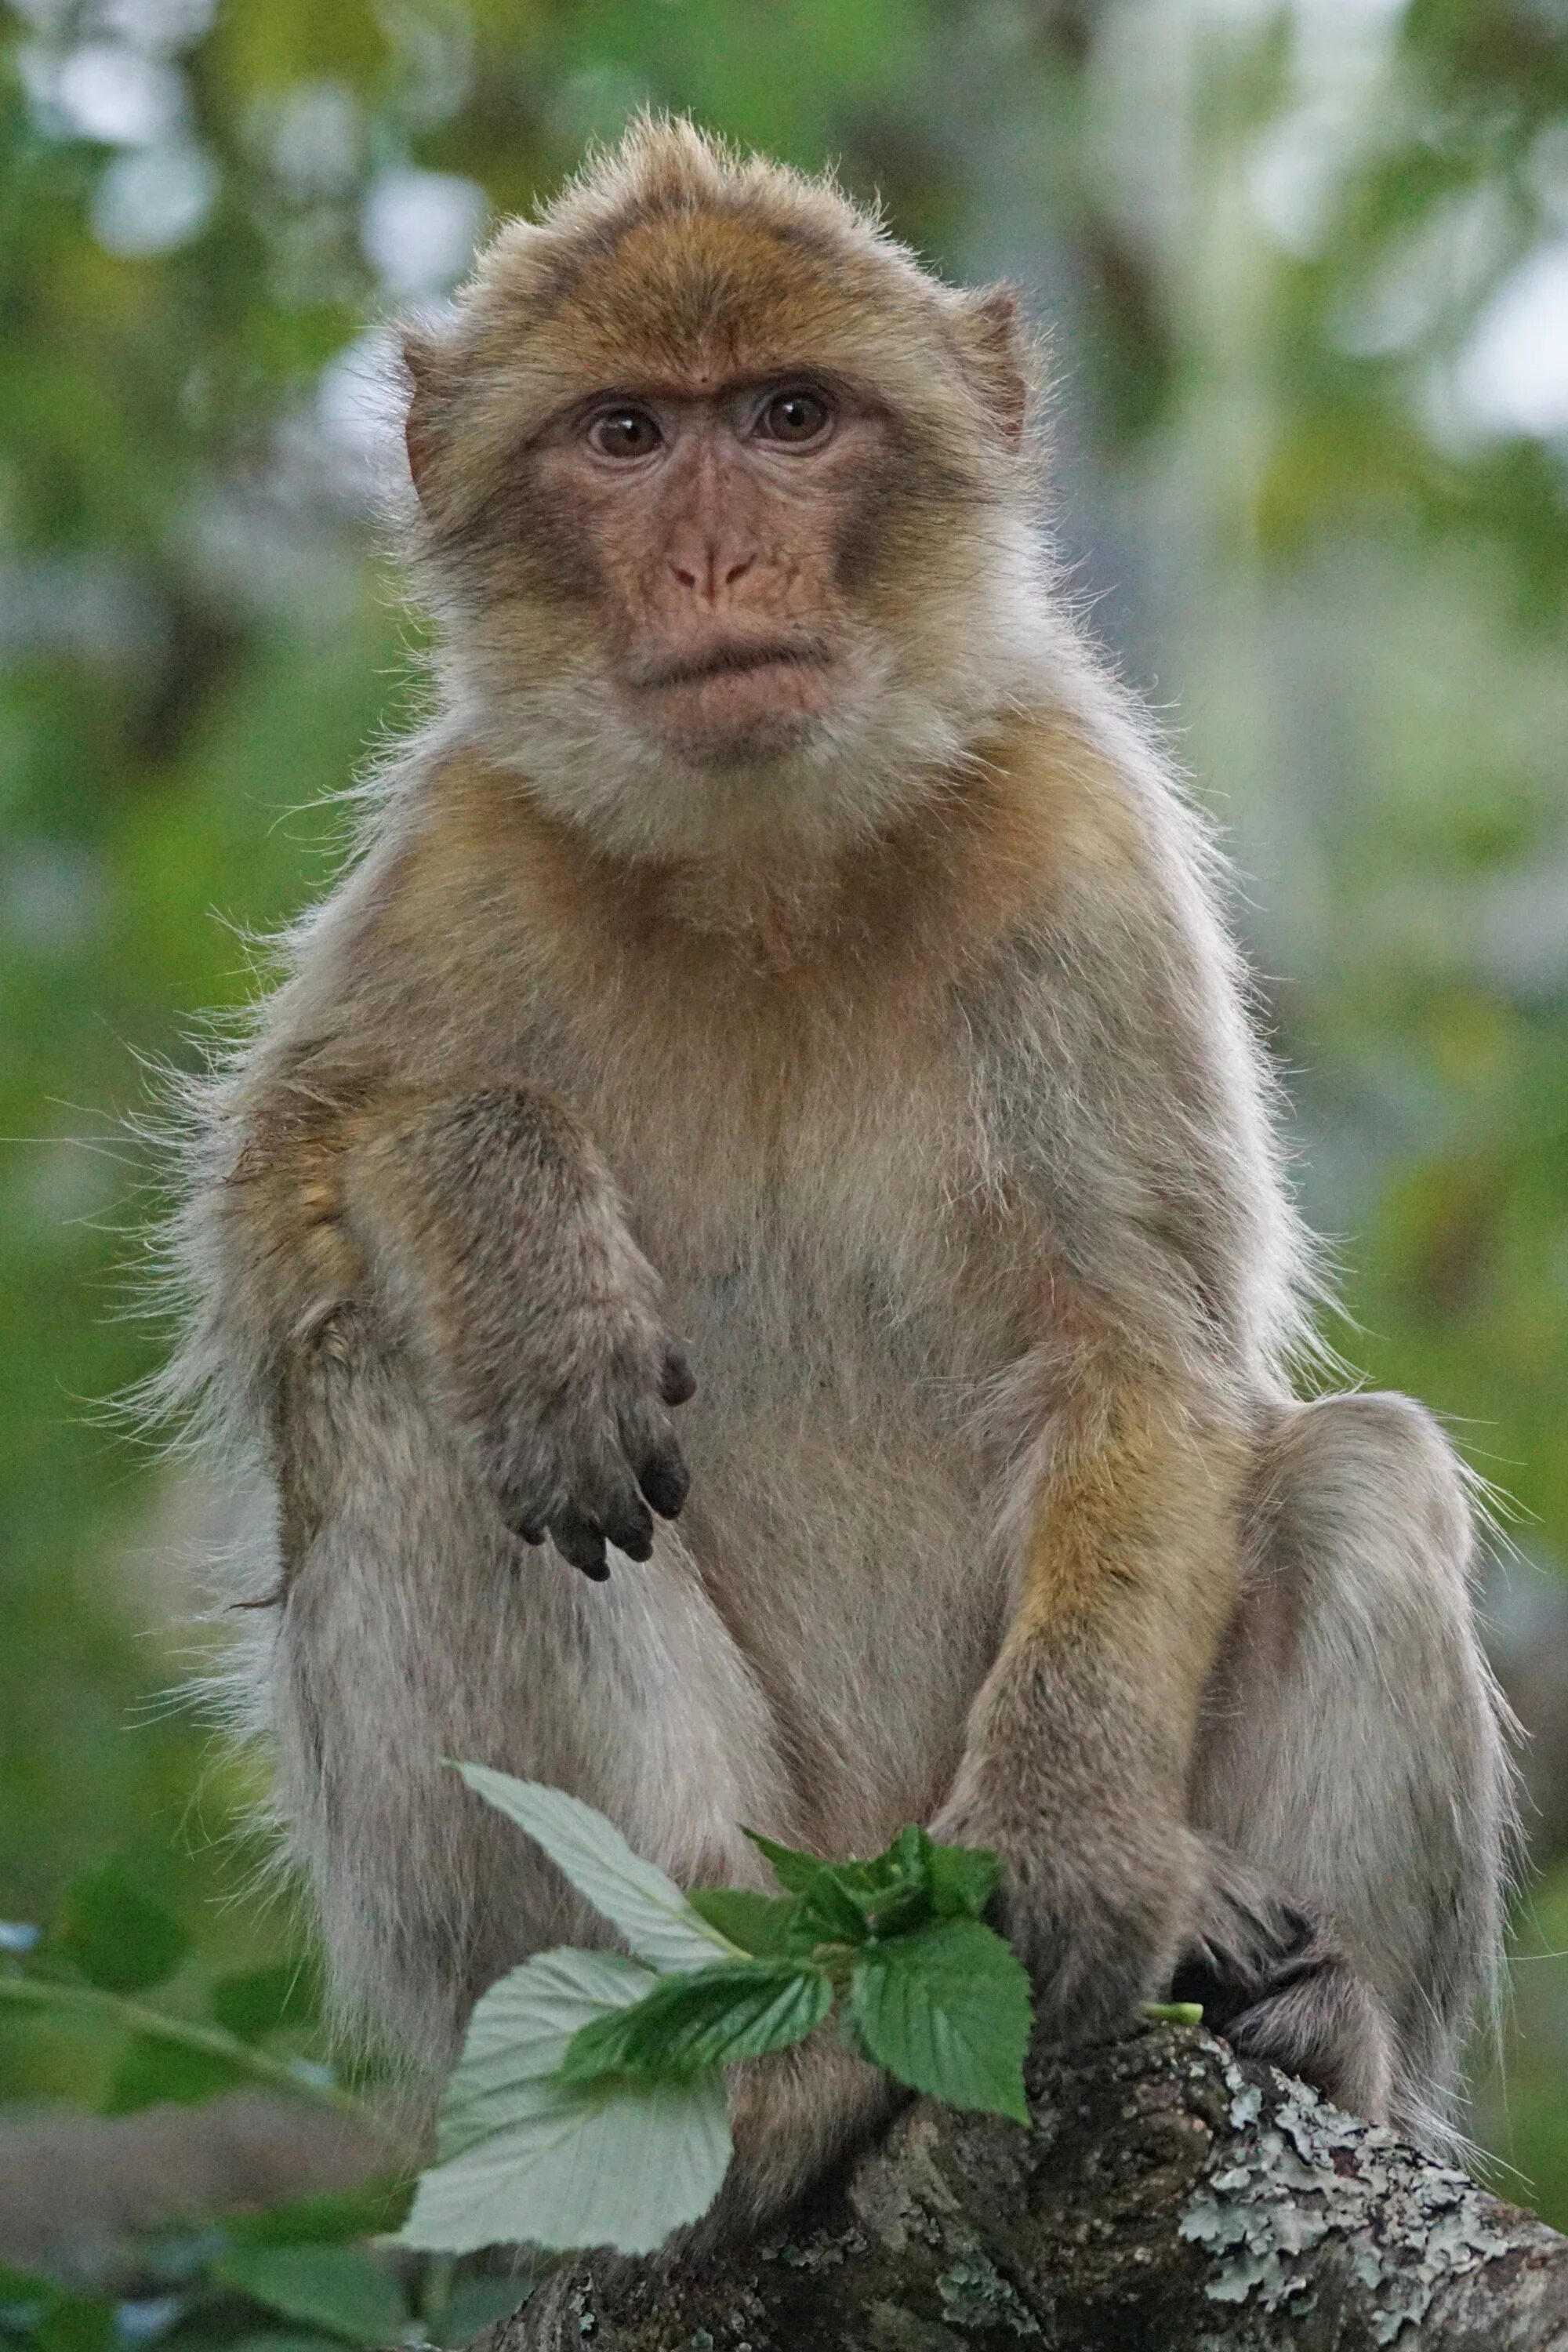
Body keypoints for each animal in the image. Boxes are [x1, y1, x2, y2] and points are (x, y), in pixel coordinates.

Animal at [159, 124, 1504, 2220]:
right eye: (626, 434)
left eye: (789, 417)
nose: (717, 560)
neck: (769, 871)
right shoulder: (468, 844)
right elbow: (276, 1219)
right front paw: (511, 1229)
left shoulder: (1077, 836)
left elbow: (1140, 1357)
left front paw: (1067, 1846)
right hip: (614, 1934)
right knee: (402, 1388)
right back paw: (742, 2091)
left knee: (1363, 1468)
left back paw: (1312, 2026)